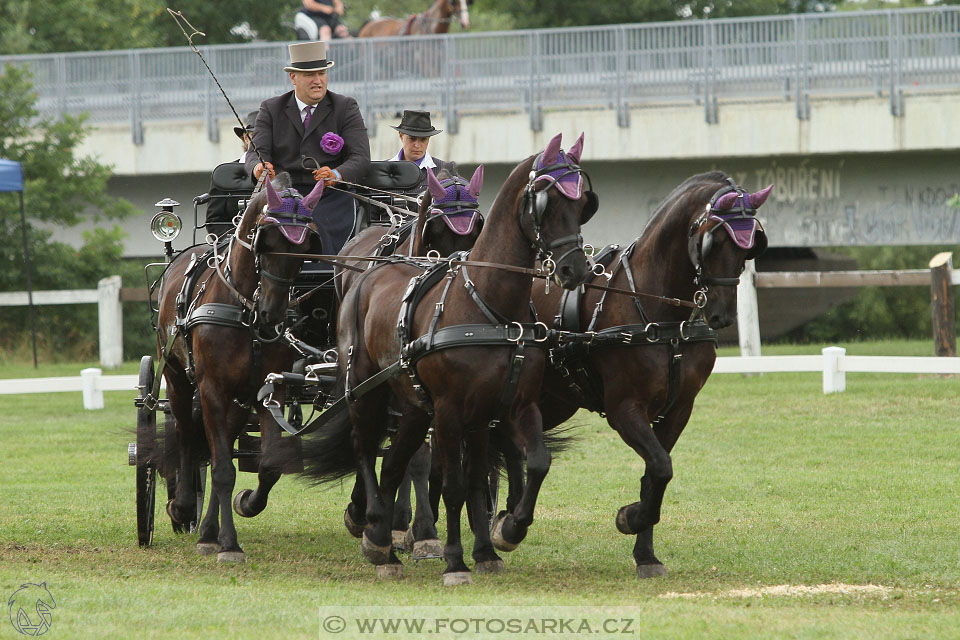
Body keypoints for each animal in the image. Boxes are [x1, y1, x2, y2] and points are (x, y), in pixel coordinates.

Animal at [304, 132, 596, 584]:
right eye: (546, 203)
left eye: (583, 202)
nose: (575, 270)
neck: (488, 307)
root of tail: (369, 271)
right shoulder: (449, 411)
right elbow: (454, 484)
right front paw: (455, 560)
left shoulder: (507, 408)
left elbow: (527, 464)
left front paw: (502, 536)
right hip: (367, 390)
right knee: (365, 448)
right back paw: (374, 527)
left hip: (411, 404)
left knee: (395, 462)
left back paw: (381, 541)